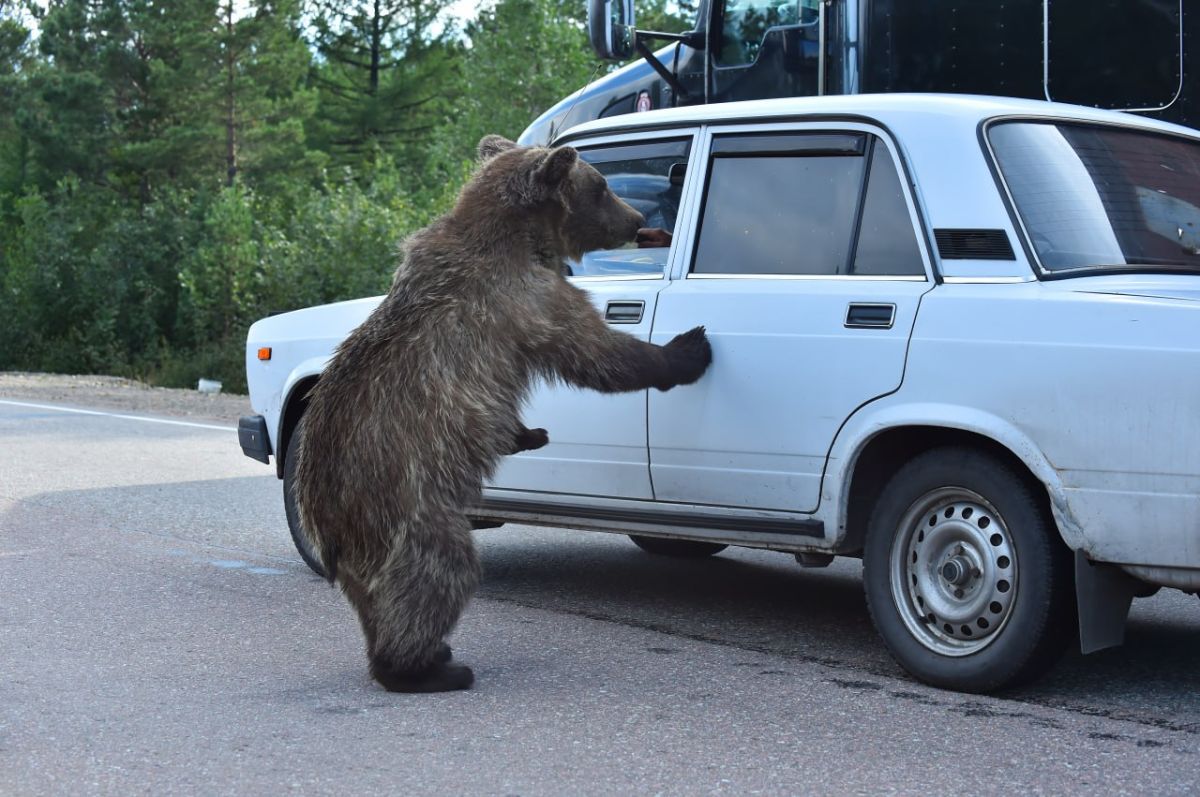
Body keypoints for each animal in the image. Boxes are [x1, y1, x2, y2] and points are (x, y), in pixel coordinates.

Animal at [294, 134, 713, 693]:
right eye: (601, 186)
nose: (637, 218)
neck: (519, 239)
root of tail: (321, 508)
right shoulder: (529, 300)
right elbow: (599, 354)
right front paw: (687, 348)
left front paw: (529, 433)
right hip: (403, 497)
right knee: (438, 568)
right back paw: (427, 667)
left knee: (371, 593)